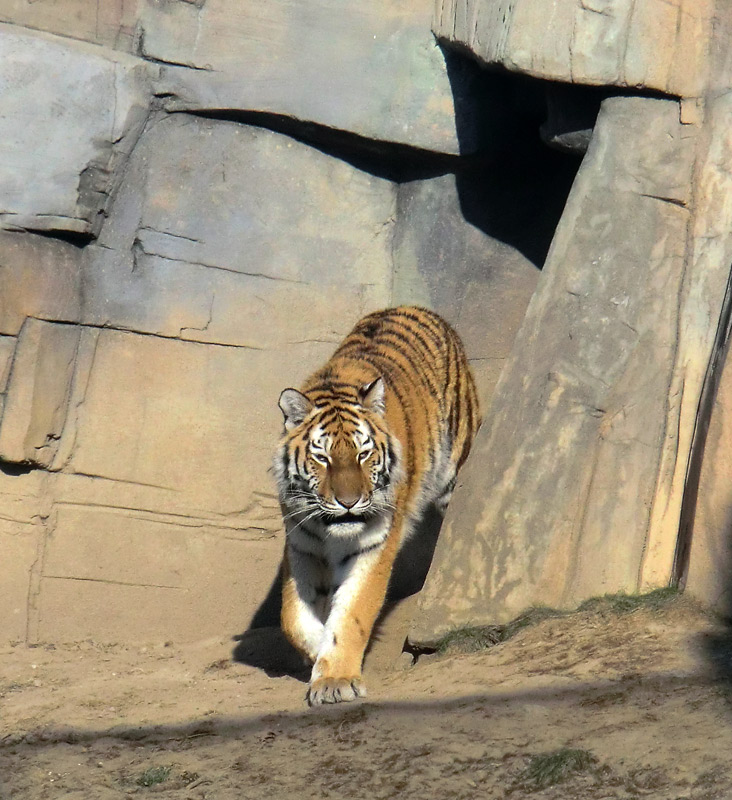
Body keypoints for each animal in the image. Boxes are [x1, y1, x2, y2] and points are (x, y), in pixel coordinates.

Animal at [274, 306, 480, 708]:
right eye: (322, 458)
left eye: (363, 454)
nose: (349, 502)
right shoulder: (302, 545)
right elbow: (293, 618)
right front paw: (318, 652)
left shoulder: (373, 545)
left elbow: (352, 612)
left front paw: (335, 679)